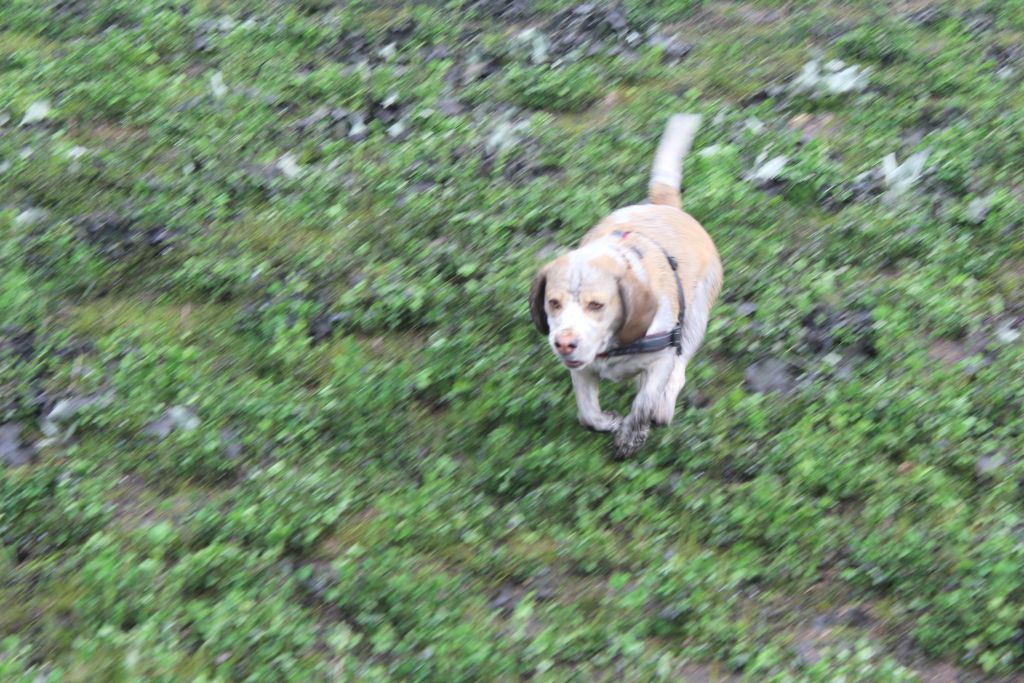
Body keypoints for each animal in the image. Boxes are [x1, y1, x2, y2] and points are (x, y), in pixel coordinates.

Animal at [529, 113, 722, 458]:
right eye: (553, 303)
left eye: (597, 305)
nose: (563, 343)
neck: (616, 346)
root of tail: (666, 207)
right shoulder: (582, 370)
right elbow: (588, 413)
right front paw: (610, 423)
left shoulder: (660, 360)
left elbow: (644, 403)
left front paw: (631, 435)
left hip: (695, 321)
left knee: (679, 370)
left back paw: (663, 407)